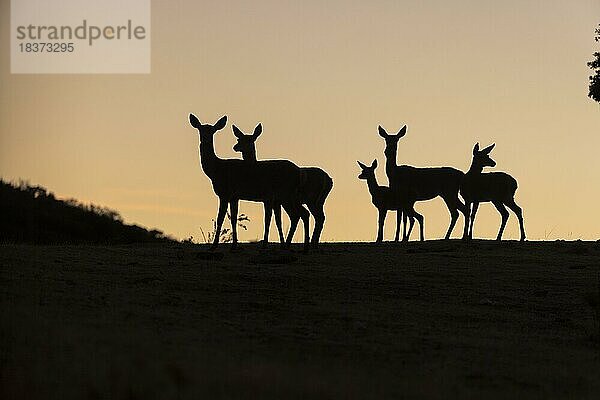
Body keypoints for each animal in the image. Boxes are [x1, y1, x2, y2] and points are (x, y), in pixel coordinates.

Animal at [188, 112, 310, 250]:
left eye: (212, 131)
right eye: (200, 130)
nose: (205, 140)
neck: (216, 170)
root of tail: (300, 173)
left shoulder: (224, 193)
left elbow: (220, 219)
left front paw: (213, 246)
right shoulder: (234, 197)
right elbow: (233, 218)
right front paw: (234, 246)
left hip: (286, 194)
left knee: (297, 214)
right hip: (290, 196)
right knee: (303, 214)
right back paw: (301, 247)